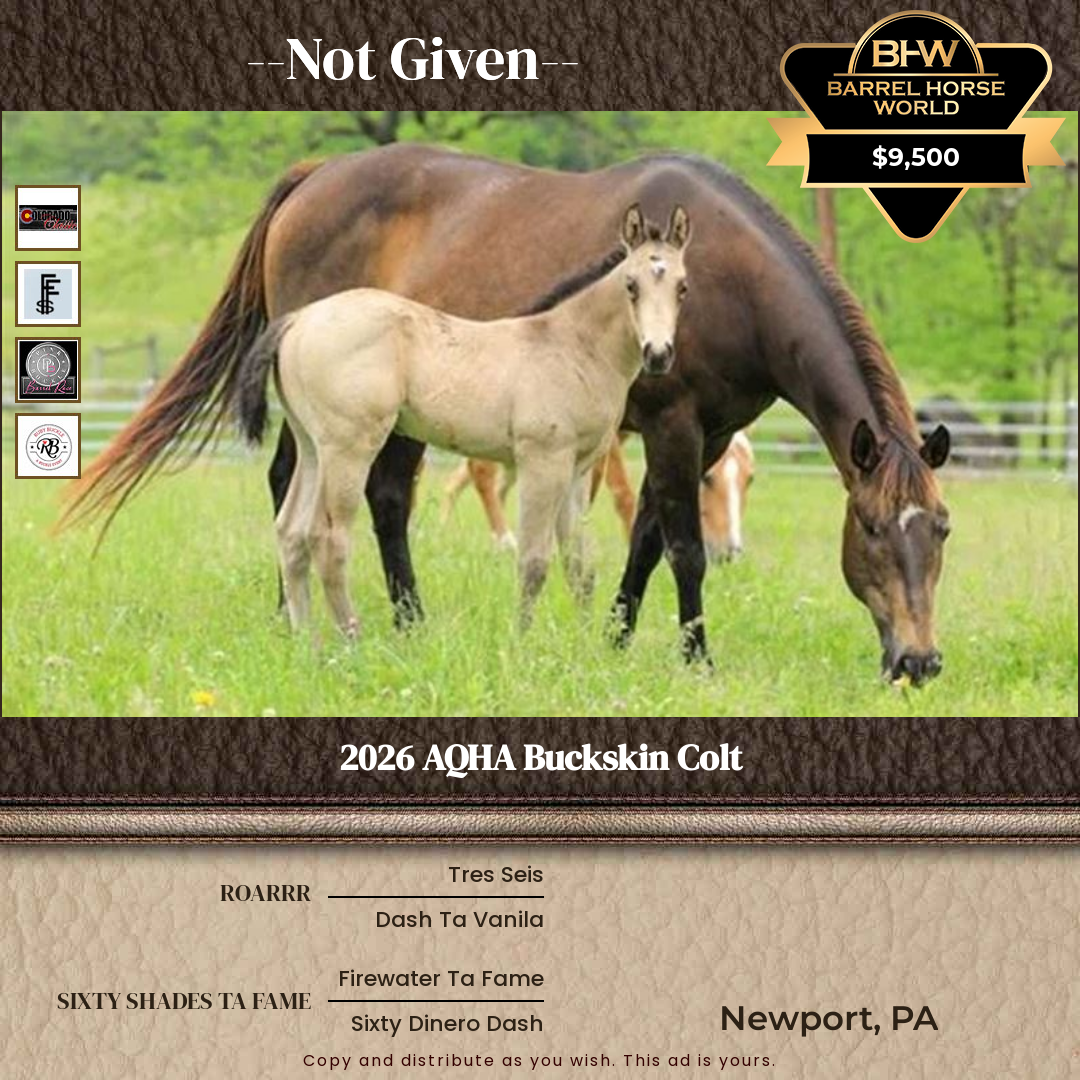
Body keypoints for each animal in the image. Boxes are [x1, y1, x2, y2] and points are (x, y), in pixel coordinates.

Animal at [234, 205, 692, 634]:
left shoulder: (577, 469)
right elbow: (533, 561)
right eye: (631, 285)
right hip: (349, 449)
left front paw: (581, 645)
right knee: (327, 538)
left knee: (291, 533)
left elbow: (581, 566)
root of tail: (299, 319)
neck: (571, 345)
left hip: (312, 447)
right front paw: (521, 642)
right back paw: (351, 639)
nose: (658, 354)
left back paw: (307, 642)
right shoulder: (542, 461)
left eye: (682, 286)